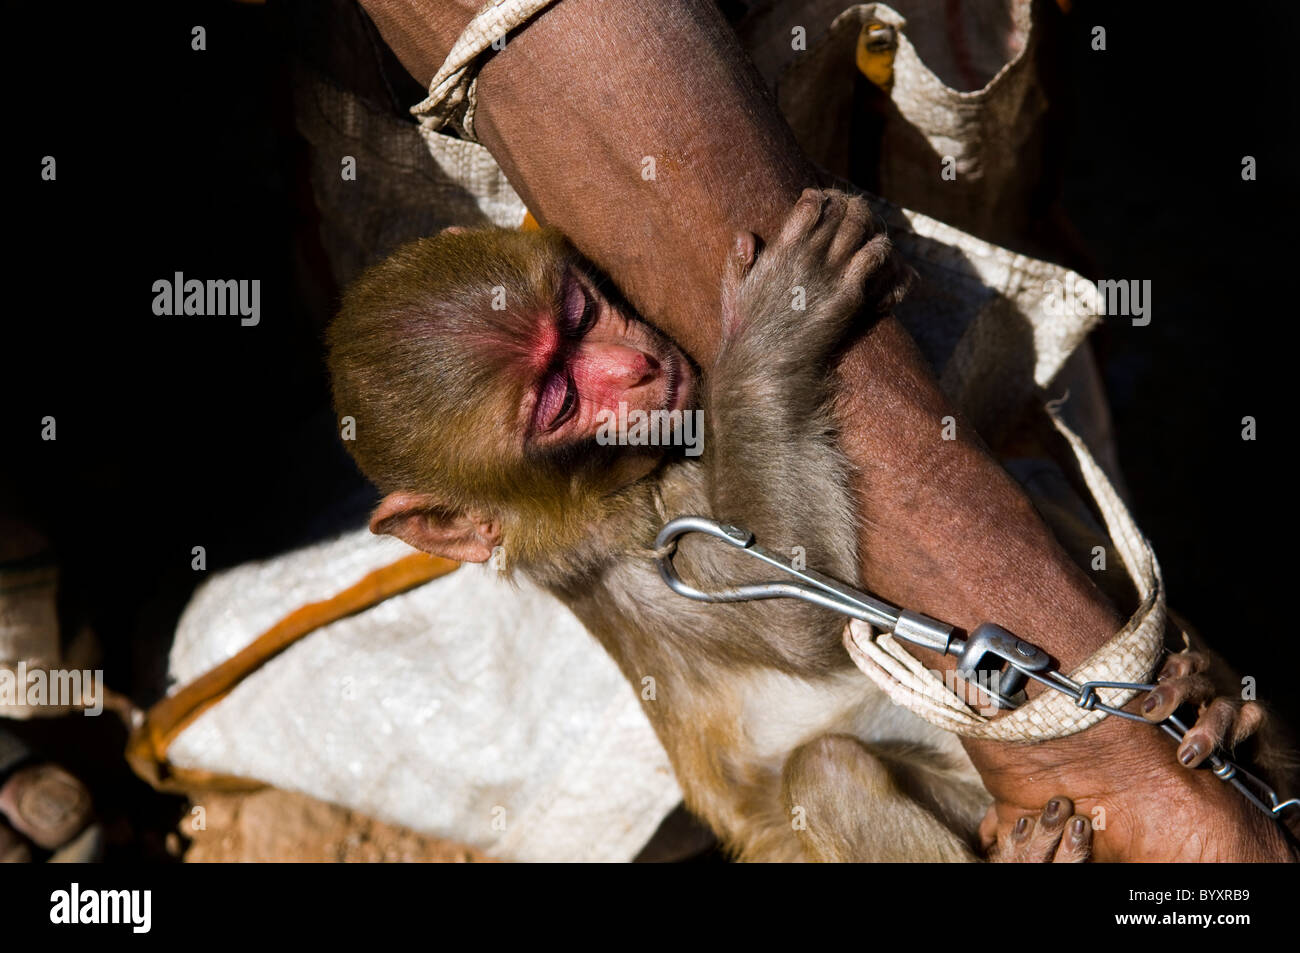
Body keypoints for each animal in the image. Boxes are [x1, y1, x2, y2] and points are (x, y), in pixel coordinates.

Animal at [325, 189, 1159, 858]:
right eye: (560, 402)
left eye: (578, 313)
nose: (637, 369)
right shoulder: (634, 563)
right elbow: (799, 626)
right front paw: (772, 336)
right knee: (826, 773)